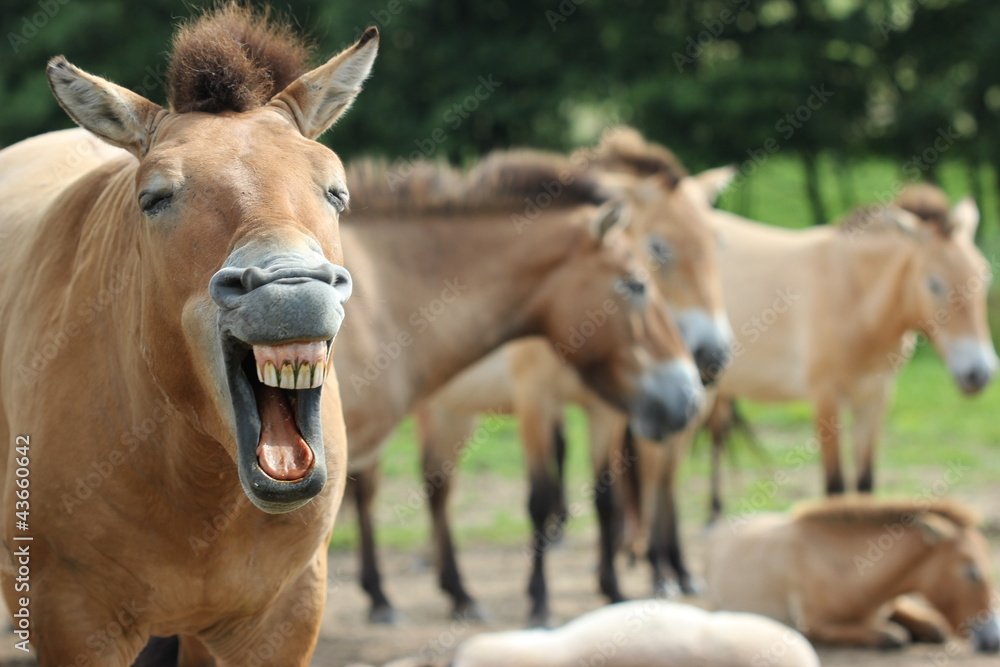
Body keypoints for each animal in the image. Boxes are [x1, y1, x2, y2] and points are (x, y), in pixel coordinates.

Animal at [704, 498, 1000, 656]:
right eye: (971, 572)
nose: (993, 639)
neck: (848, 571)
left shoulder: (893, 602)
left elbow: (934, 627)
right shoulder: (815, 626)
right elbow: (893, 636)